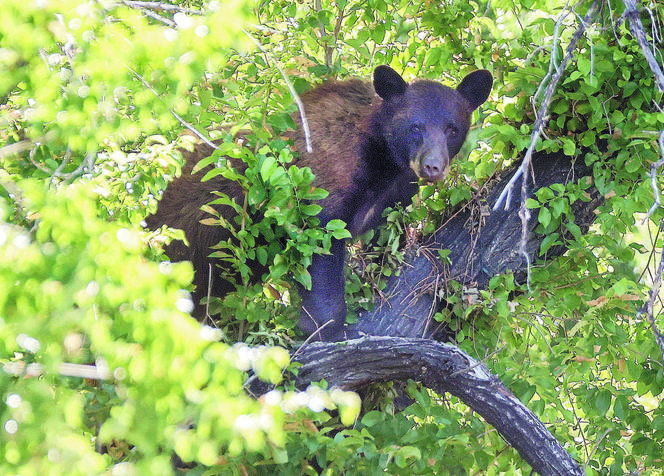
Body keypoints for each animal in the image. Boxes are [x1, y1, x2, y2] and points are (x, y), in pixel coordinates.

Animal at [149, 66, 492, 342]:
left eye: (452, 129)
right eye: (415, 127)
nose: (432, 167)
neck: (382, 159)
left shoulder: (395, 194)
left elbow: (384, 243)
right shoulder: (323, 184)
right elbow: (320, 250)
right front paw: (329, 330)